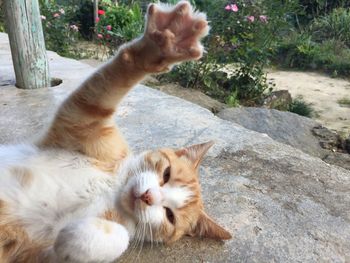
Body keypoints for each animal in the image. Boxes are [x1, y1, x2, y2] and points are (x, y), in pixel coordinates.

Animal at [0, 1, 232, 262]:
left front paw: (71, 235)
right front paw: (164, 43)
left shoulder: (36, 254)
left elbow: (118, 237)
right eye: (166, 174)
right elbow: (115, 77)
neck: (114, 187)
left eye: (169, 216)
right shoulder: (83, 116)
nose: (148, 196)